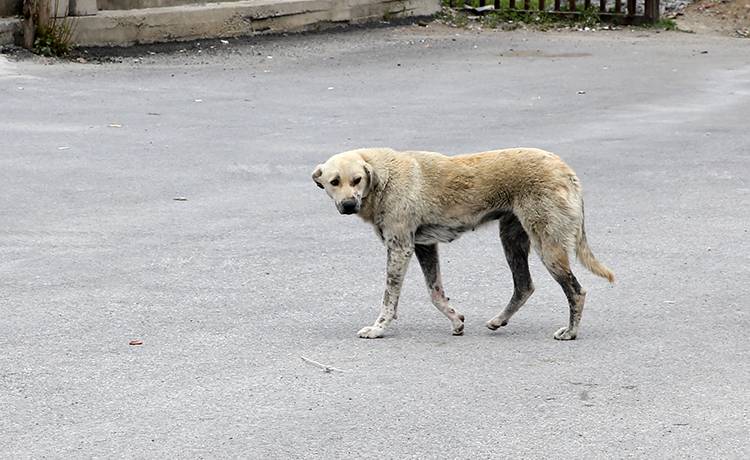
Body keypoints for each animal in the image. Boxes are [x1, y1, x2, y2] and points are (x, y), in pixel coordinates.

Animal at [314, 149, 612, 340]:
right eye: (334, 182)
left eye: (357, 180)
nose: (348, 204)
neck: (383, 177)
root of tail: (566, 170)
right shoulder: (424, 246)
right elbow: (435, 293)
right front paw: (456, 320)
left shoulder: (400, 248)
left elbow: (389, 298)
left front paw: (378, 328)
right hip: (512, 240)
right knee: (524, 286)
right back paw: (500, 320)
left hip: (548, 247)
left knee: (576, 291)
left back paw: (571, 332)